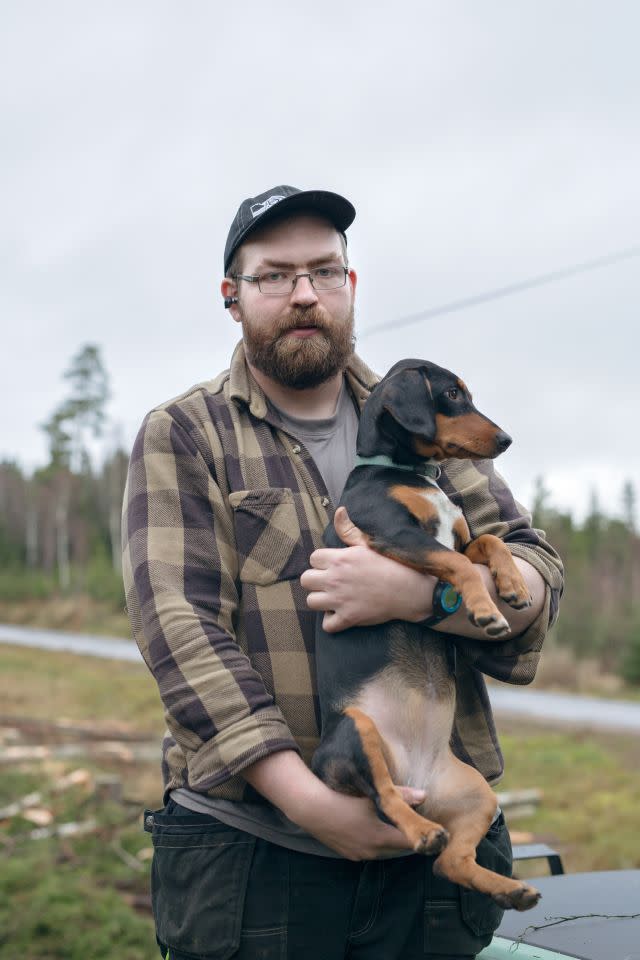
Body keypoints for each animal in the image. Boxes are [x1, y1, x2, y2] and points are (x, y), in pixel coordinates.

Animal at [312, 358, 544, 908]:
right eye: (452, 395)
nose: (506, 439)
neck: (406, 474)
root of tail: (418, 782)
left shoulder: (459, 537)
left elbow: (487, 543)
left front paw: (511, 587)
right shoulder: (395, 534)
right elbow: (454, 565)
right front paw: (485, 610)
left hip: (478, 794)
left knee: (450, 863)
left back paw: (510, 889)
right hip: (356, 732)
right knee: (384, 801)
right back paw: (420, 831)